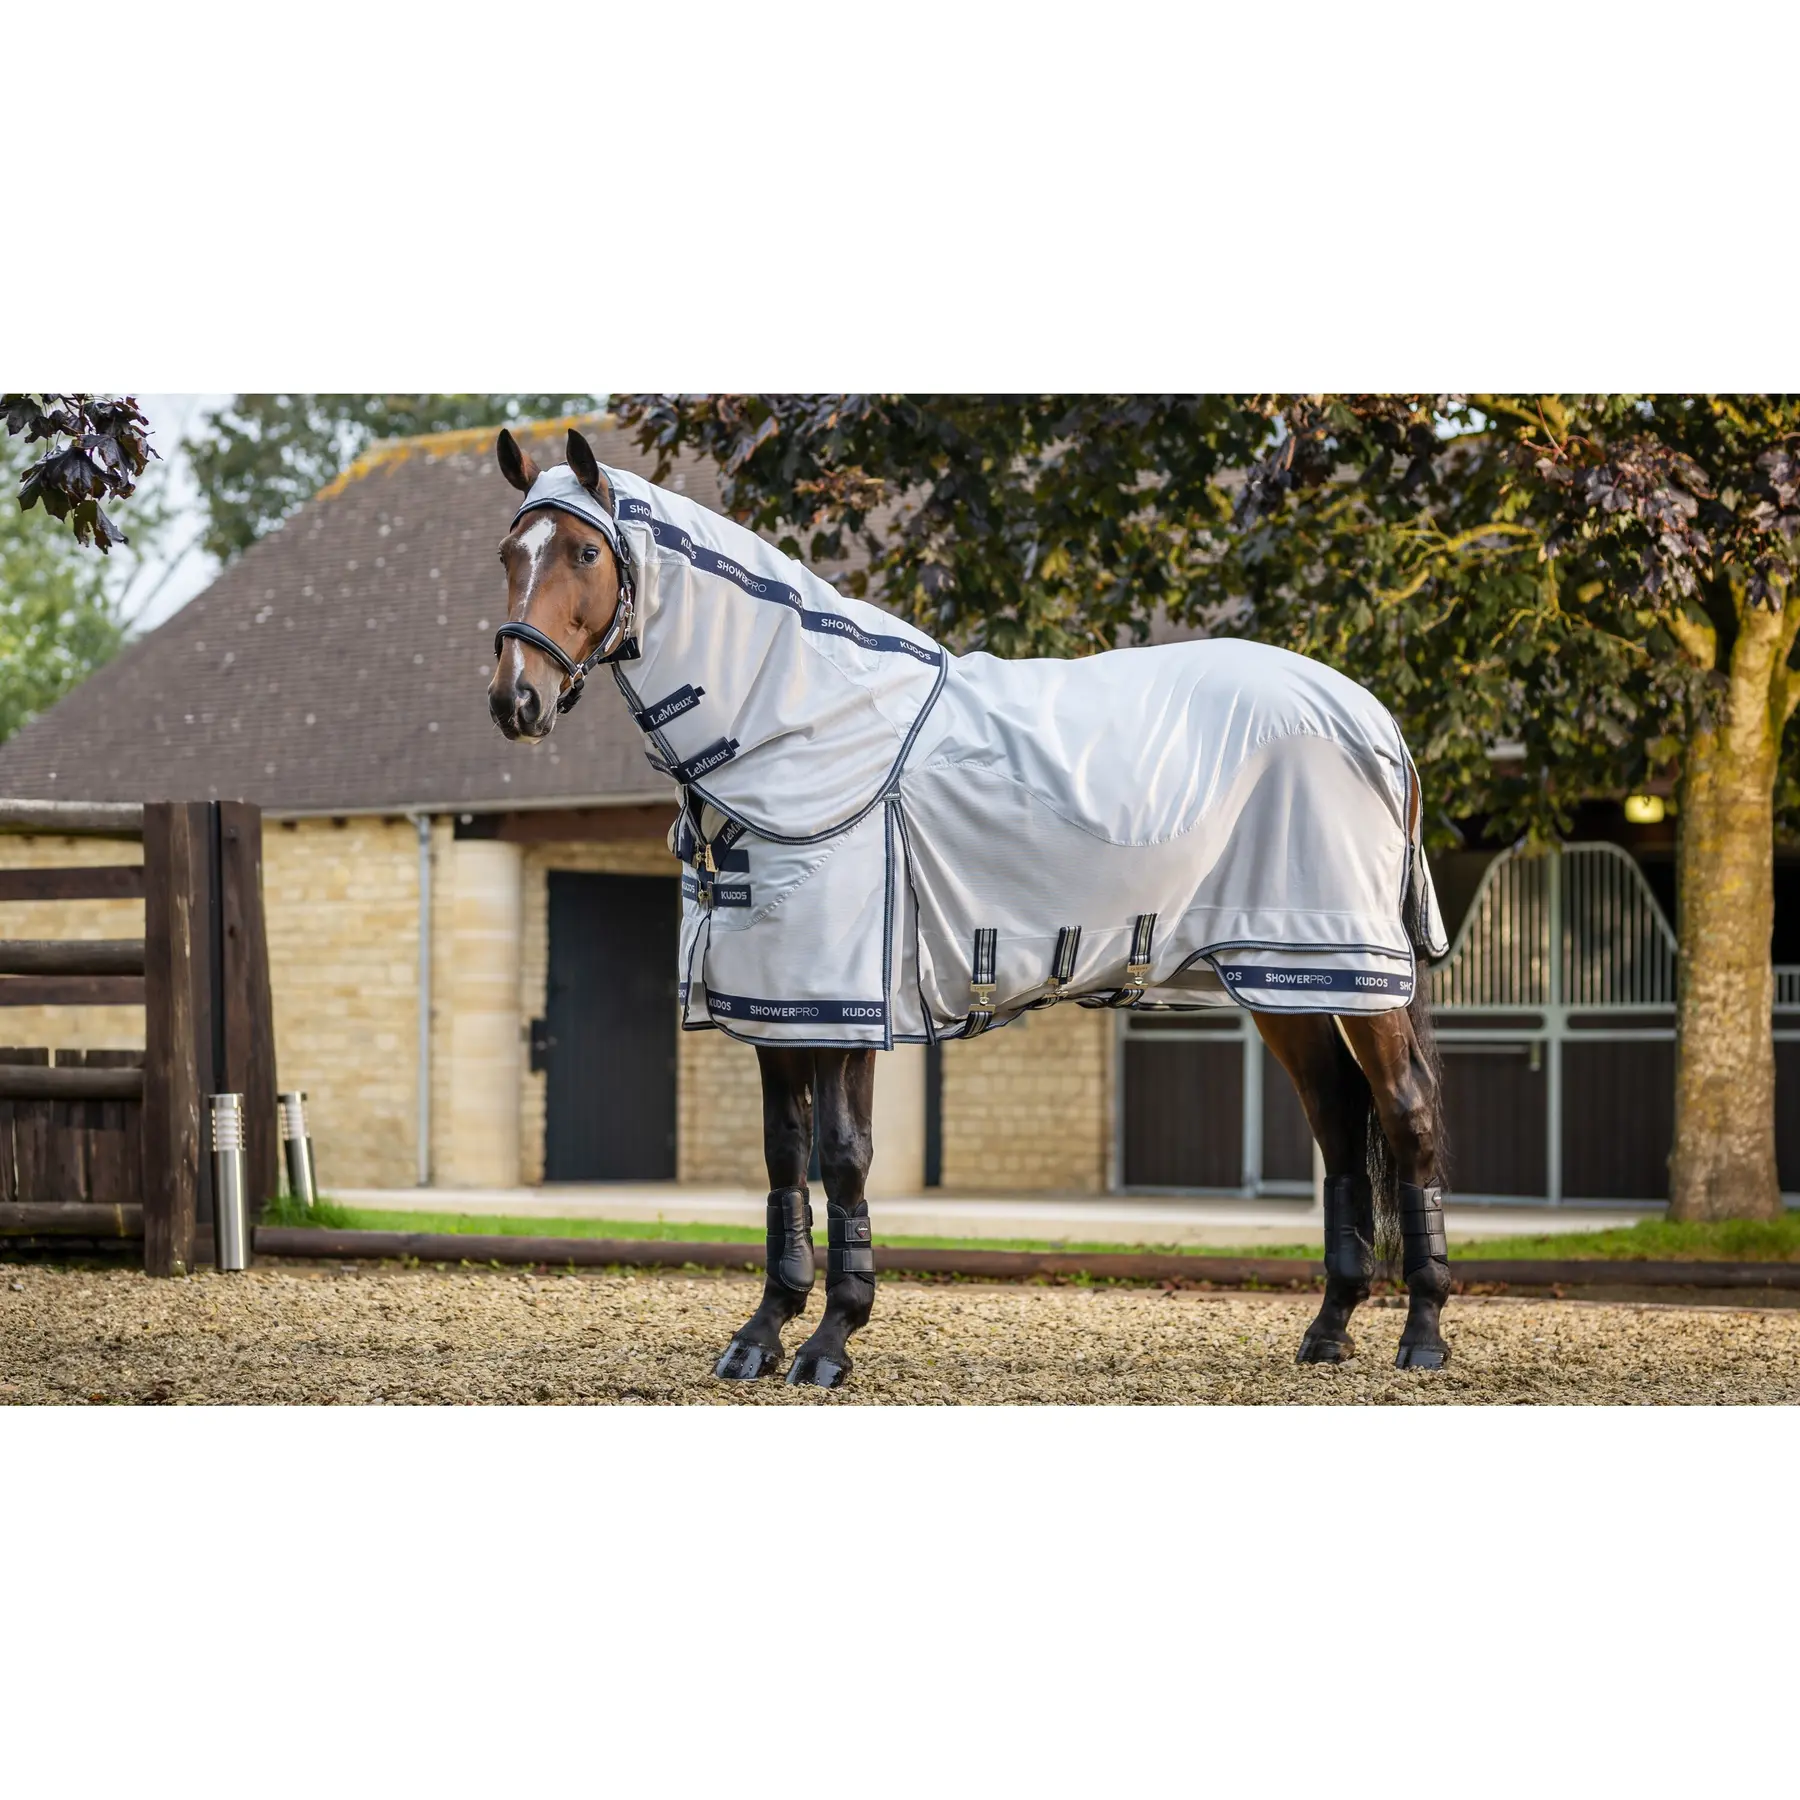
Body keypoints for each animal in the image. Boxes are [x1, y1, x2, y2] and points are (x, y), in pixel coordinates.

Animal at [487, 426, 1453, 1390]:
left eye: (584, 552)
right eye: (508, 554)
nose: (514, 700)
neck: (802, 723)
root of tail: (1376, 721)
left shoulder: (845, 1007)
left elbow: (844, 1158)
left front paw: (831, 1340)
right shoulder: (777, 1009)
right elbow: (784, 1156)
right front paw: (762, 1333)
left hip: (1352, 973)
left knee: (1405, 1113)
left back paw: (1424, 1334)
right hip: (1282, 979)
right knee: (1338, 1120)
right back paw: (1329, 1329)